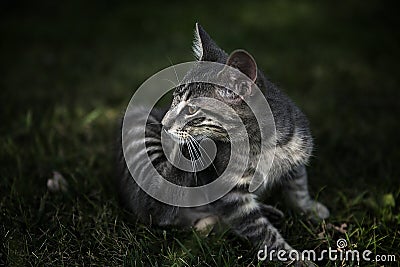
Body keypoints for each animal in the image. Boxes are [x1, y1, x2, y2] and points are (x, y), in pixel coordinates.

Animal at [115, 23, 328, 266]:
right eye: (175, 98)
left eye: (191, 109)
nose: (164, 124)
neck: (262, 144)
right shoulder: (231, 196)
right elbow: (261, 231)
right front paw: (294, 259)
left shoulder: (298, 150)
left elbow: (298, 187)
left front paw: (310, 209)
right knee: (158, 205)